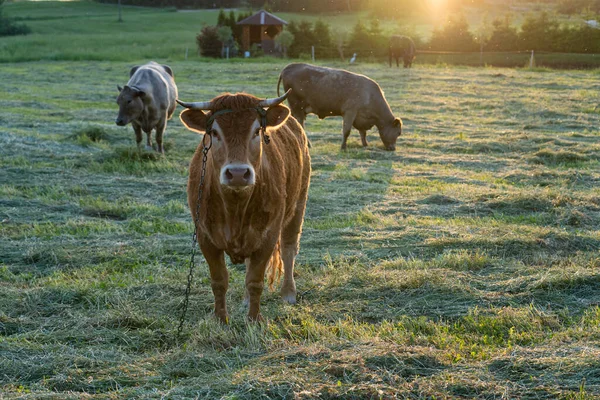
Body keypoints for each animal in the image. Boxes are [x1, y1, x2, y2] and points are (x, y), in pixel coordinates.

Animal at [177, 90, 310, 322]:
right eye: (214, 132)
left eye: (256, 131)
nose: (238, 173)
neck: (235, 207)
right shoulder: (205, 238)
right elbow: (219, 280)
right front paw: (221, 319)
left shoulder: (267, 236)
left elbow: (255, 280)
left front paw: (254, 319)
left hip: (298, 206)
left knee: (289, 249)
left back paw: (288, 293)